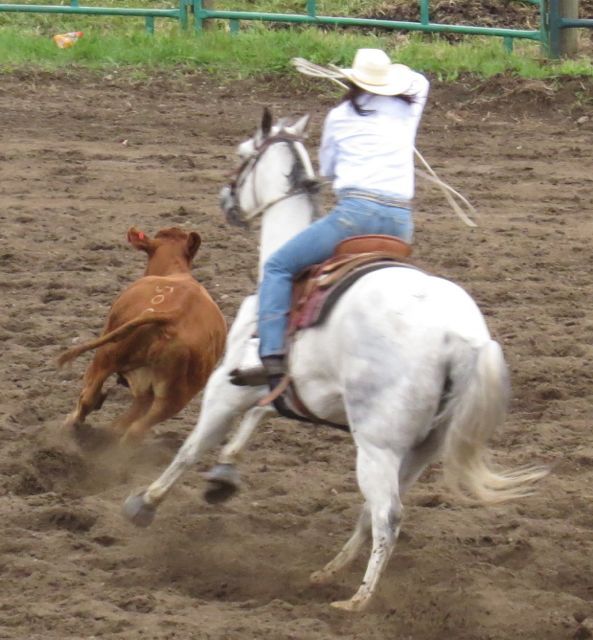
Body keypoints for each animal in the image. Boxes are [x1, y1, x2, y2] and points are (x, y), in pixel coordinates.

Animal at [59, 226, 227, 444]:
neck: (175, 272)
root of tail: (175, 315)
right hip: (174, 397)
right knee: (135, 428)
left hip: (105, 357)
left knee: (89, 398)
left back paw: (70, 427)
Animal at [122, 109, 548, 608]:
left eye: (244, 154)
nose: (226, 199)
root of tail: (460, 337)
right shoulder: (295, 387)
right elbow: (260, 412)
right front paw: (224, 475)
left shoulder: (225, 385)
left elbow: (192, 447)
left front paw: (145, 503)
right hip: (424, 446)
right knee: (373, 510)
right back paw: (329, 572)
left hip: (378, 444)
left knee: (387, 515)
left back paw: (356, 602)